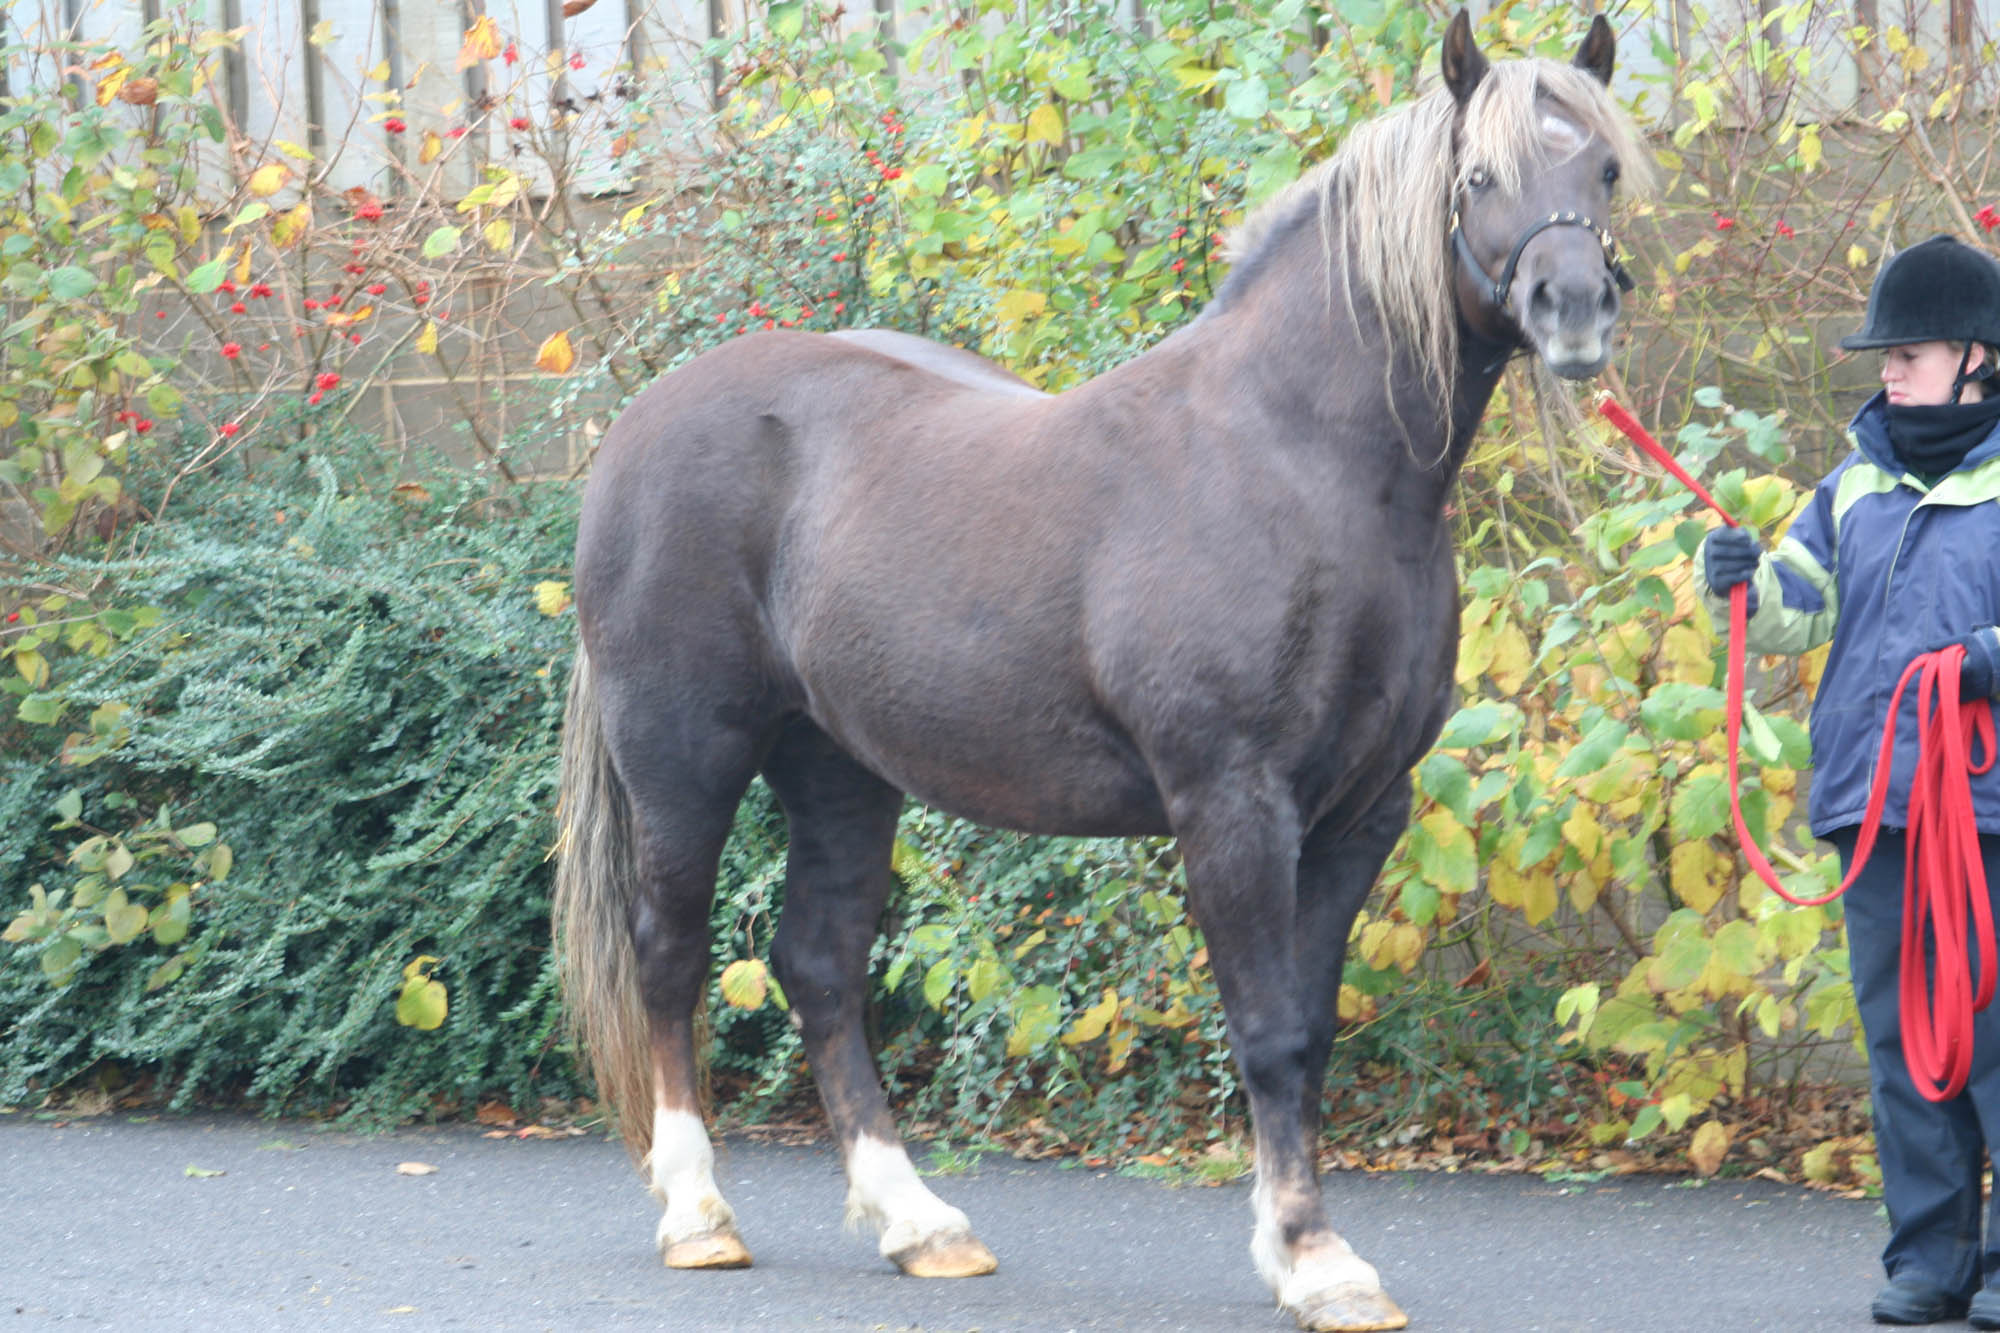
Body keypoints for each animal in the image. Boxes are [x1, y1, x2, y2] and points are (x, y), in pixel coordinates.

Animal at [556, 13, 1648, 1328]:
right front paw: (1315, 1259)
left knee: (818, 966)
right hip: (683, 758)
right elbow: (1267, 1030)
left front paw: (1295, 1249)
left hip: (840, 769)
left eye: (1603, 168)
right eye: (1477, 175)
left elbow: (1309, 1031)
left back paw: (918, 1223)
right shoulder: (1230, 806)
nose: (1571, 307)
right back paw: (697, 1212)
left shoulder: (1358, 817)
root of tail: (641, 424)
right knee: (667, 955)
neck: (1298, 460)